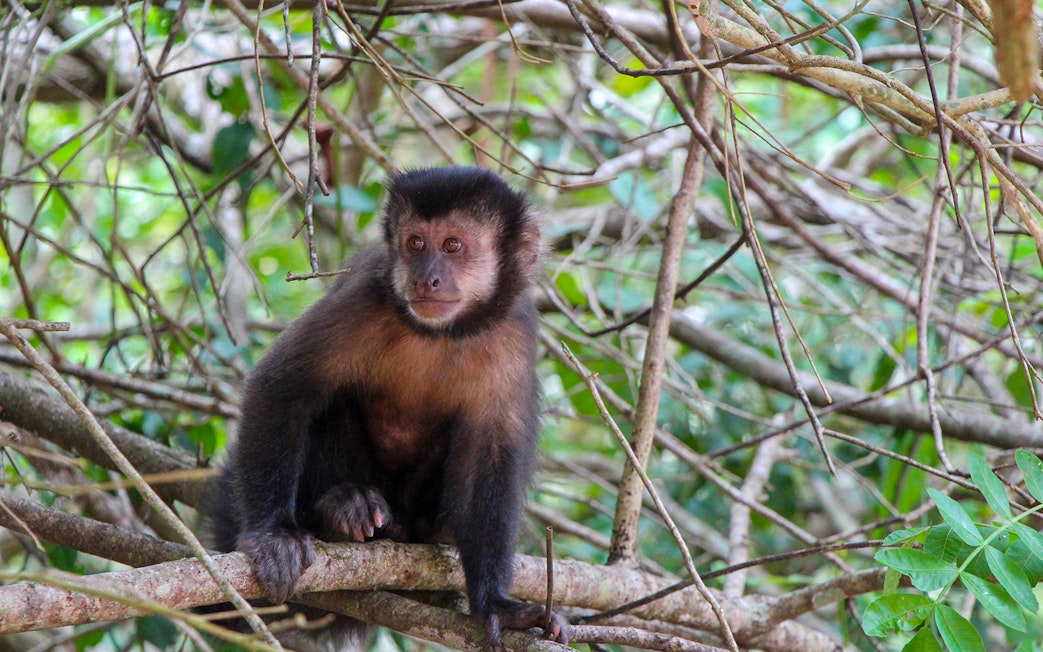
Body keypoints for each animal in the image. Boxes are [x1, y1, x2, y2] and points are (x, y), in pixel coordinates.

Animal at [206, 166, 567, 651]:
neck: (442, 334)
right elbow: (283, 386)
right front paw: (273, 534)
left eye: (452, 246)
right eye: (415, 243)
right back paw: (339, 512)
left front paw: (495, 603)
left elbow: (491, 452)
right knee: (331, 403)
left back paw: (418, 533)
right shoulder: (364, 299)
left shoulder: (513, 332)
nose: (426, 278)